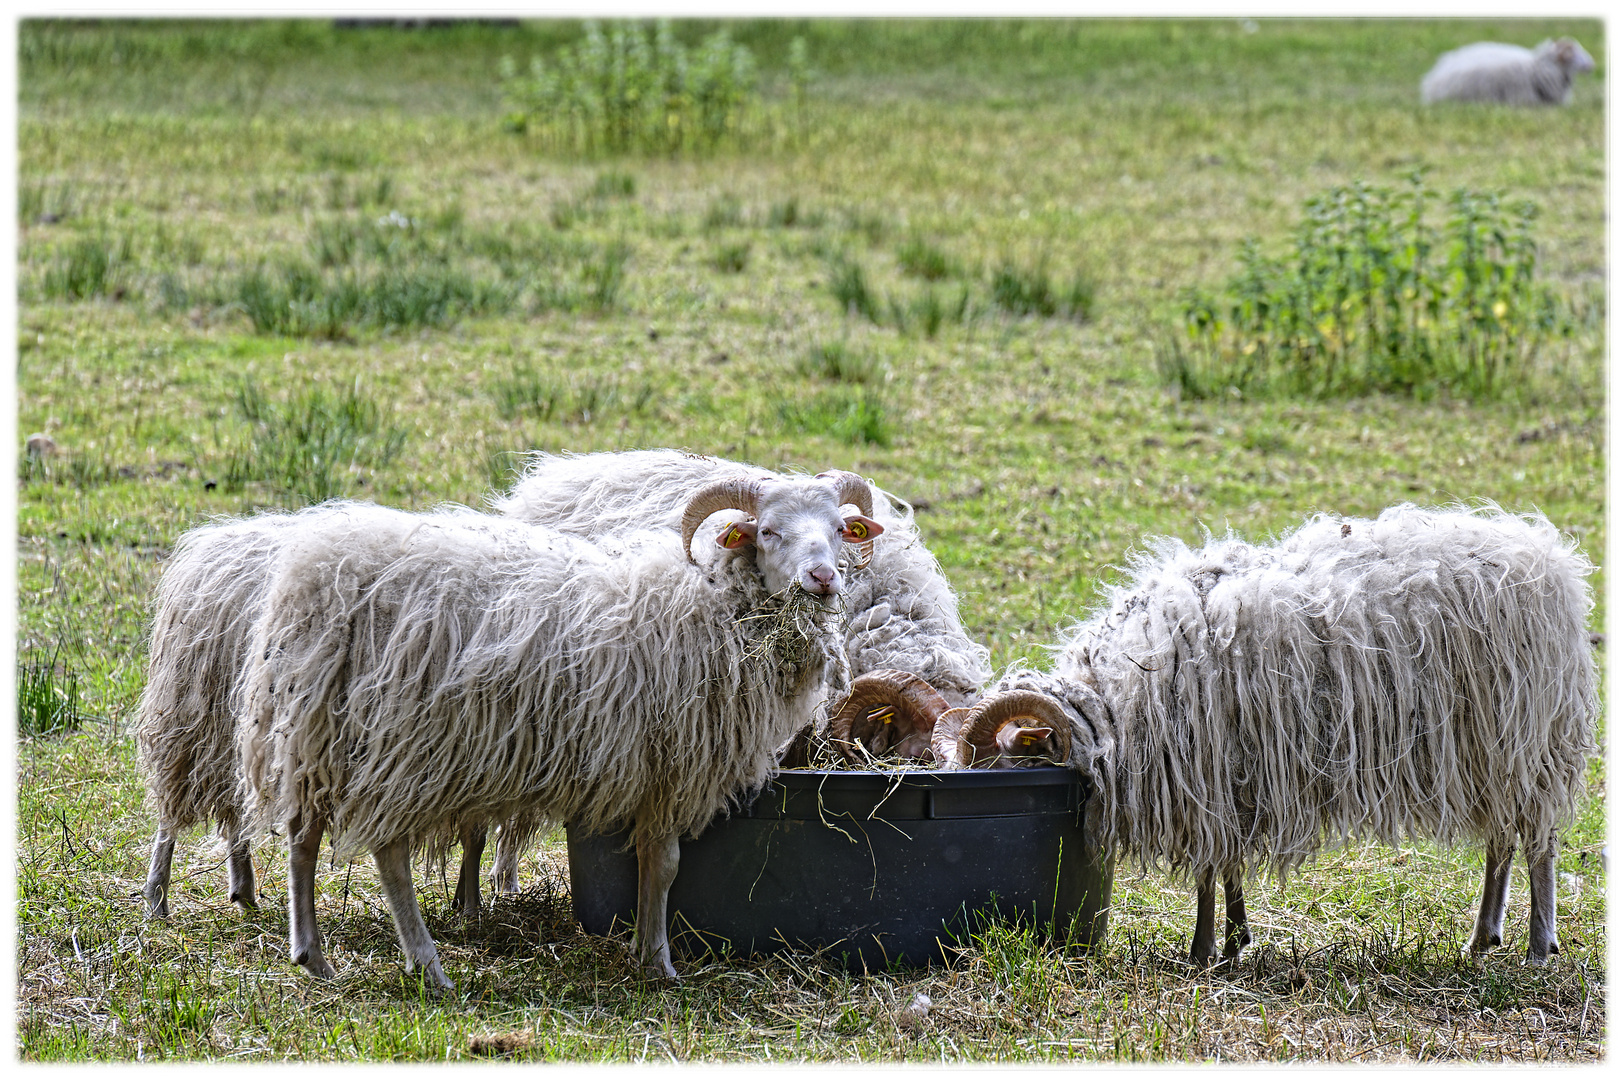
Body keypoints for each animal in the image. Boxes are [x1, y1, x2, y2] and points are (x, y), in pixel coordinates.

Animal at [236, 470, 889, 987]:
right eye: (769, 531)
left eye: (838, 529)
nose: (823, 579)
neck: (714, 599)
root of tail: (313, 574)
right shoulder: (673, 766)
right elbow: (666, 865)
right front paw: (659, 962)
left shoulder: (652, 767)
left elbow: (651, 863)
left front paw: (643, 950)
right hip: (403, 740)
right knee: (389, 853)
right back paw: (427, 964)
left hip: (316, 731)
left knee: (300, 837)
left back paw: (311, 956)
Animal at [999, 506, 1597, 967]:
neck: (1113, 704)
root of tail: (1551, 562)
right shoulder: (1228, 778)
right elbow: (1226, 865)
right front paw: (1234, 938)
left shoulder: (1209, 773)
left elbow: (1210, 867)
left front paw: (1205, 948)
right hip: (1497, 754)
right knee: (1503, 839)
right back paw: (1483, 936)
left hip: (1526, 743)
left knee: (1538, 843)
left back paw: (1539, 946)